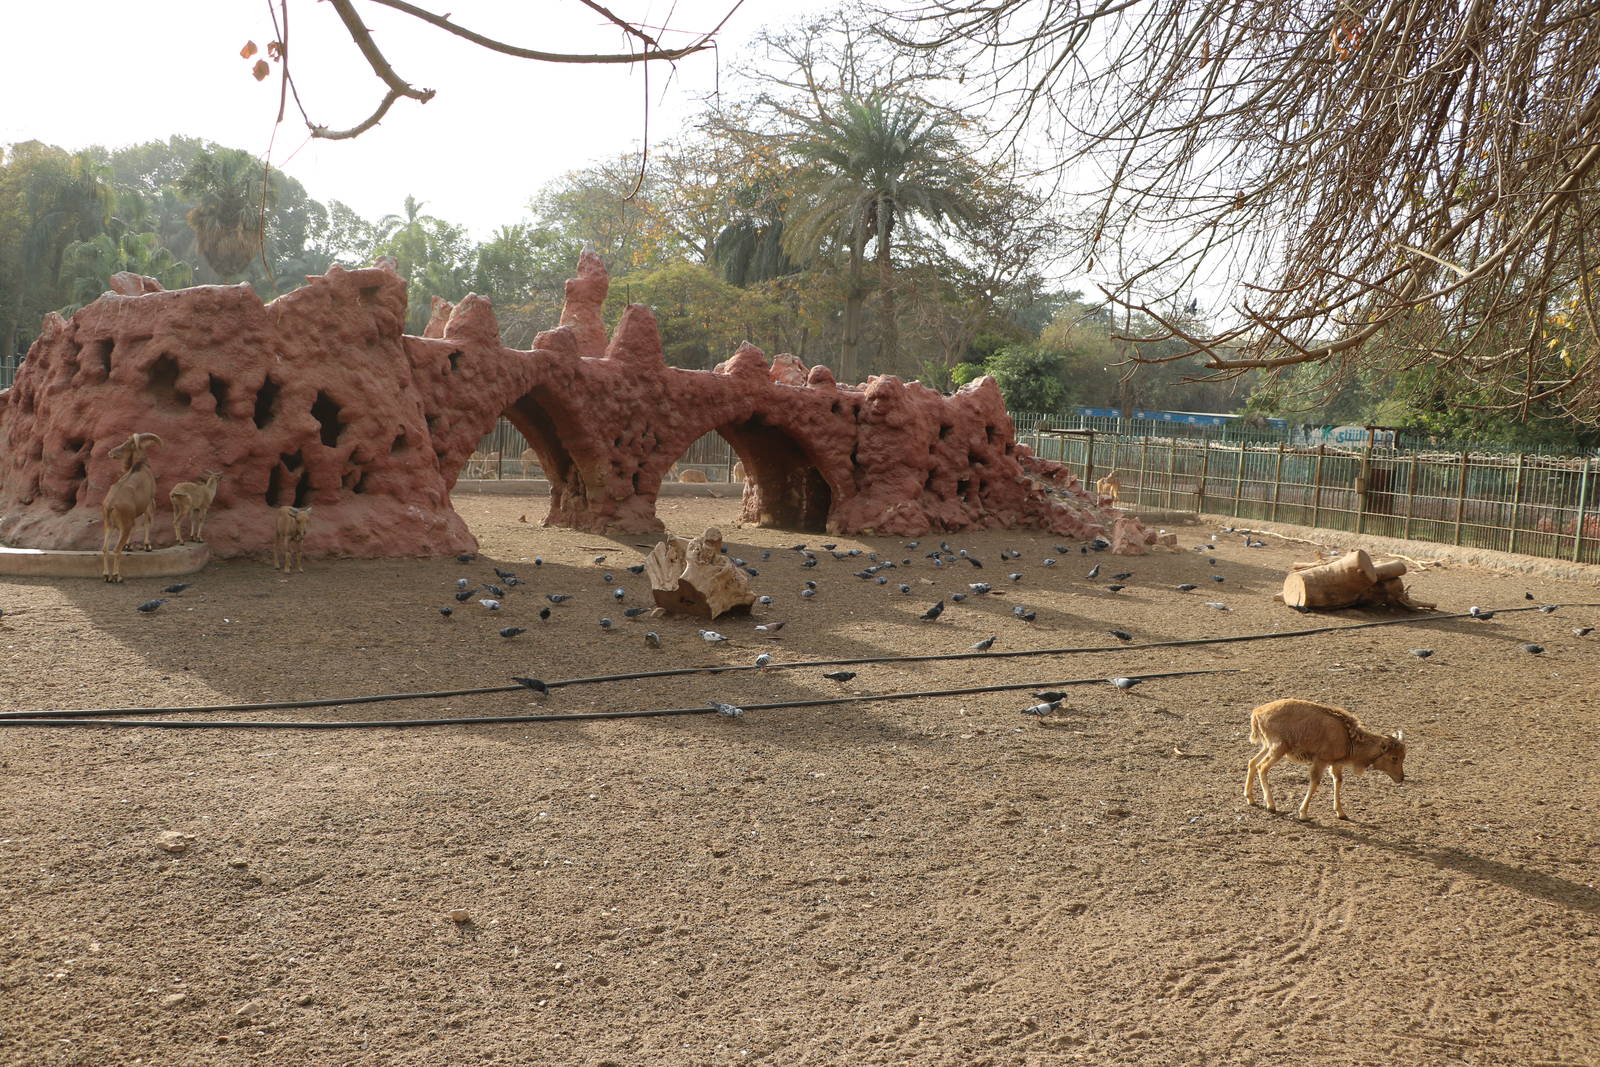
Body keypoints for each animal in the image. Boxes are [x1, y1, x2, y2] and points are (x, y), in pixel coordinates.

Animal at [100, 432, 162, 583]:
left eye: (126, 444)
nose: (111, 452)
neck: (141, 466)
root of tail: (110, 505)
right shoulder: (149, 502)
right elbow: (147, 522)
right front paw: (147, 546)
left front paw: (129, 546)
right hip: (123, 527)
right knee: (116, 549)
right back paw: (117, 576)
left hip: (108, 525)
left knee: (105, 548)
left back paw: (106, 575)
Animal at [1244, 699, 1407, 820]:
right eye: (1394, 757)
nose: (1401, 778)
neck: (1347, 737)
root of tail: (1257, 712)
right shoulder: (1320, 761)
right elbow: (1315, 782)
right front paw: (1303, 814)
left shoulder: (1336, 763)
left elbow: (1338, 781)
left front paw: (1341, 813)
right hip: (1278, 748)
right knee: (1262, 767)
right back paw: (1271, 805)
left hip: (1268, 746)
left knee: (1252, 762)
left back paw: (1250, 798)